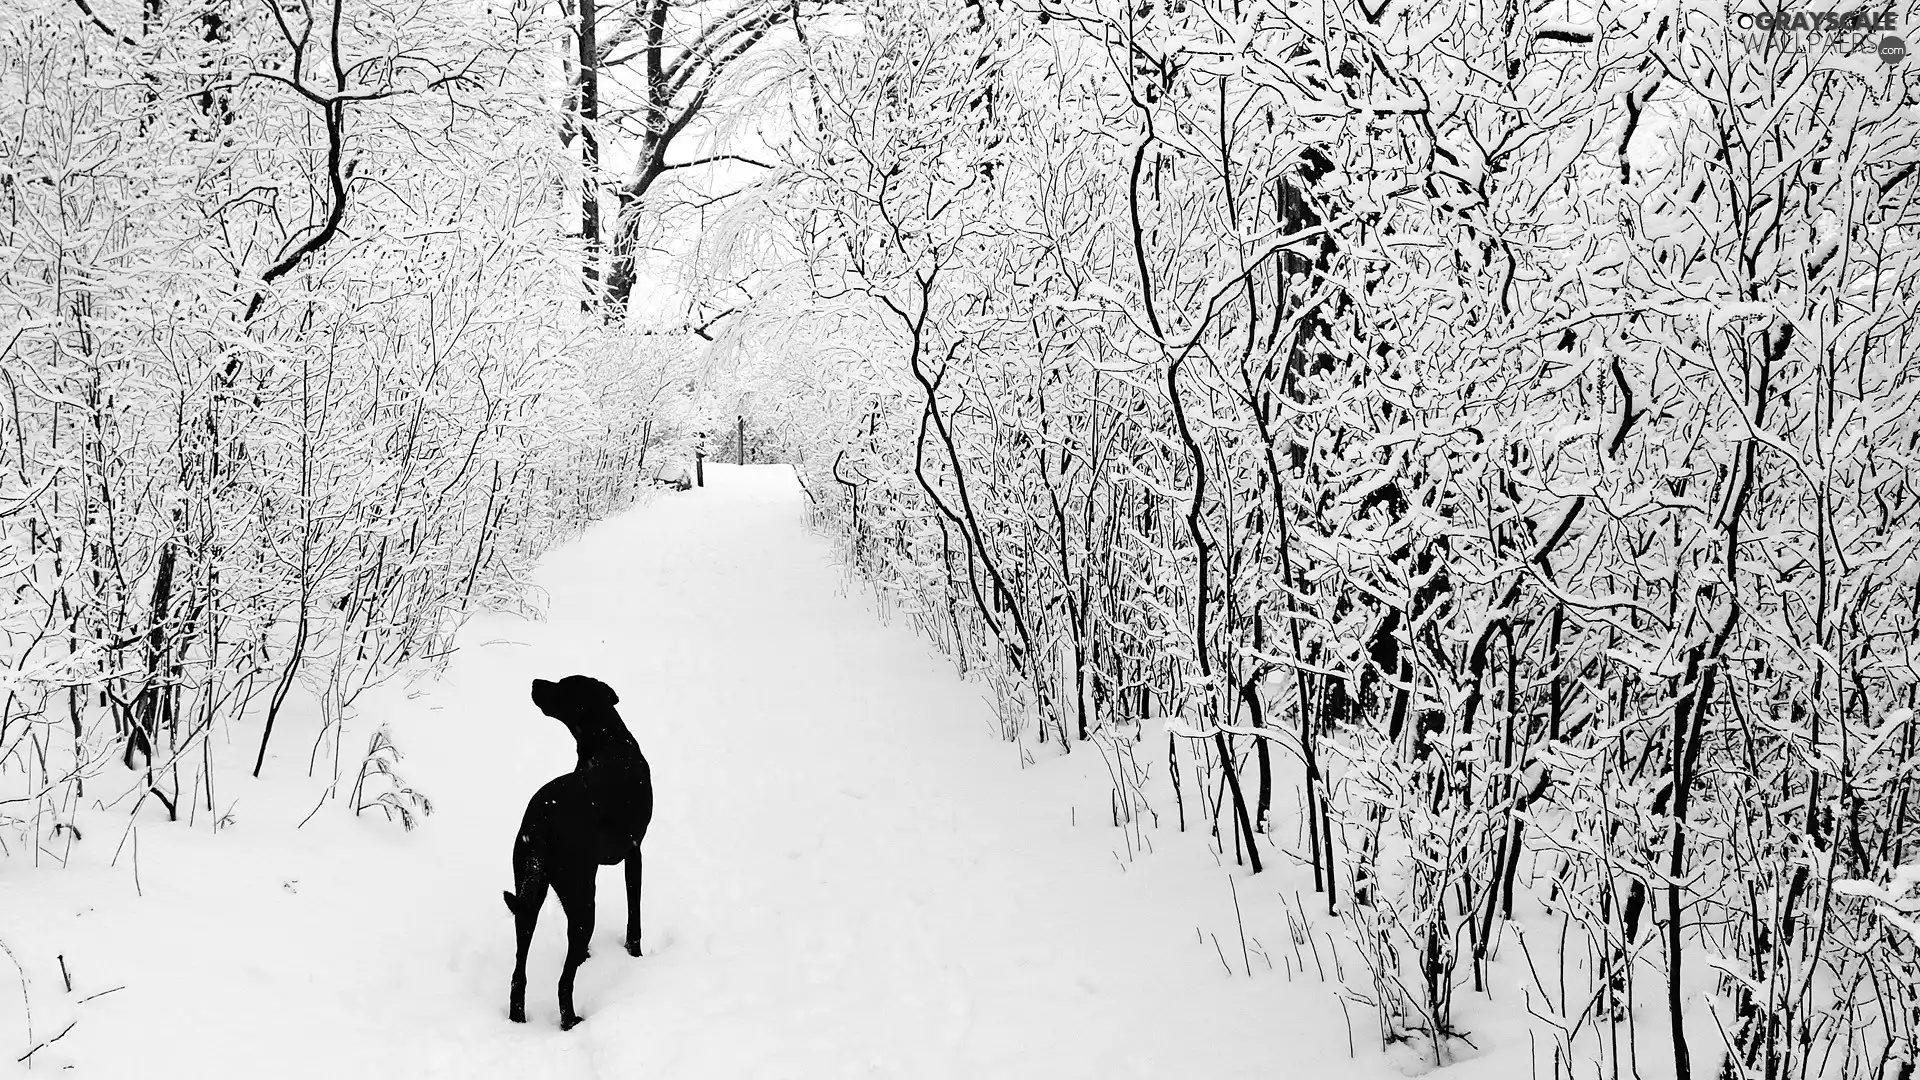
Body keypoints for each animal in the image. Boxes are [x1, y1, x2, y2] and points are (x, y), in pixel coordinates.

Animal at [503, 672, 652, 1022]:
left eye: (562, 684)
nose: (535, 681)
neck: (608, 739)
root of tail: (541, 819)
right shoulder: (634, 852)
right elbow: (635, 914)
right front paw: (636, 955)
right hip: (582, 898)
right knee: (563, 981)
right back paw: (570, 1020)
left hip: (528, 893)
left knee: (519, 973)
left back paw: (518, 1017)